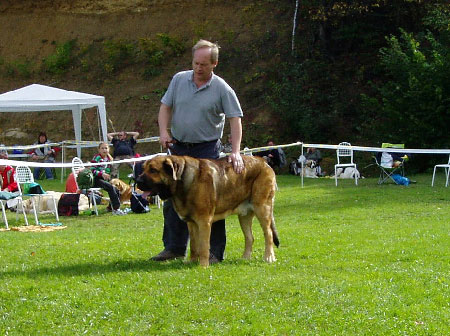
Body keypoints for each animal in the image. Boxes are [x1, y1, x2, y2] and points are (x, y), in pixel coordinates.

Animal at [135, 155, 280, 268]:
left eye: (153, 170)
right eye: (144, 169)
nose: (137, 181)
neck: (183, 181)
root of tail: (264, 162)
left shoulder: (204, 222)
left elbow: (204, 246)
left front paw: (203, 265)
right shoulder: (192, 223)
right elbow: (194, 245)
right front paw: (192, 261)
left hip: (262, 208)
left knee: (268, 234)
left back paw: (268, 257)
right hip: (244, 216)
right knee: (250, 237)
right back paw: (245, 258)